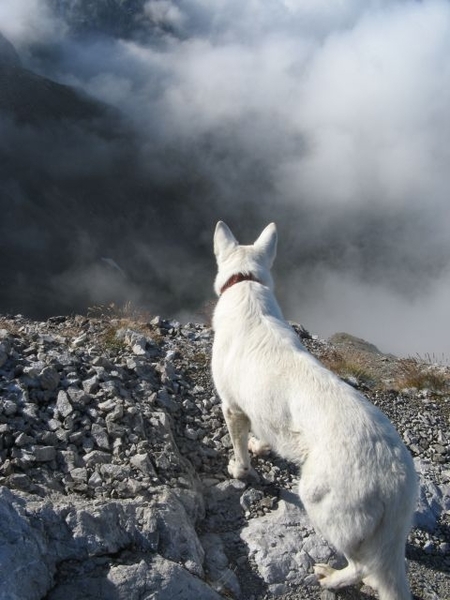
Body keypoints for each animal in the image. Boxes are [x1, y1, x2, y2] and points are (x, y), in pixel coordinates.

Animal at [213, 221, 416, 600]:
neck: (246, 283)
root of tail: (395, 477)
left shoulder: (232, 409)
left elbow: (239, 450)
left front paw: (240, 470)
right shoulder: (262, 411)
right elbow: (265, 433)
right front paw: (260, 447)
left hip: (323, 504)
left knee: (361, 565)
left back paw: (331, 577)